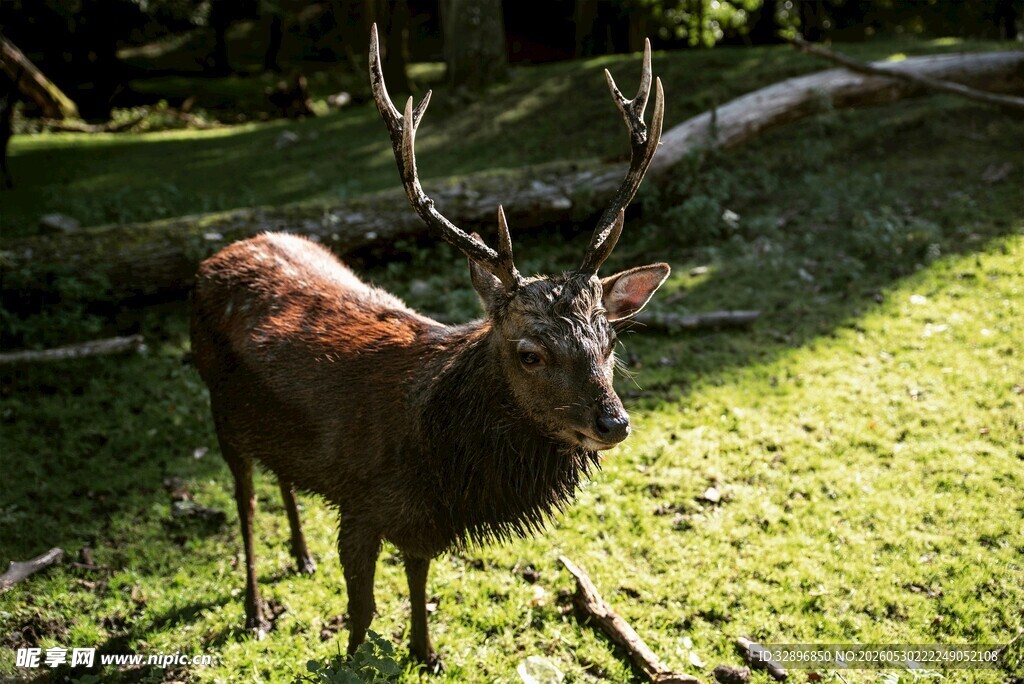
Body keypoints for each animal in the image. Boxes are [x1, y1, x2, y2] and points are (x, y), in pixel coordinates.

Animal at [190, 25, 666, 668]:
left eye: (610, 338)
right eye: (529, 352)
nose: (612, 423)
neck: (440, 465)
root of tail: (216, 257)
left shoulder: (424, 519)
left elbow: (418, 576)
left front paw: (425, 650)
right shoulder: (359, 503)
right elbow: (362, 611)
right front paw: (356, 660)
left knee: (282, 475)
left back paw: (302, 556)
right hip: (216, 403)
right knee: (243, 500)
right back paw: (255, 607)